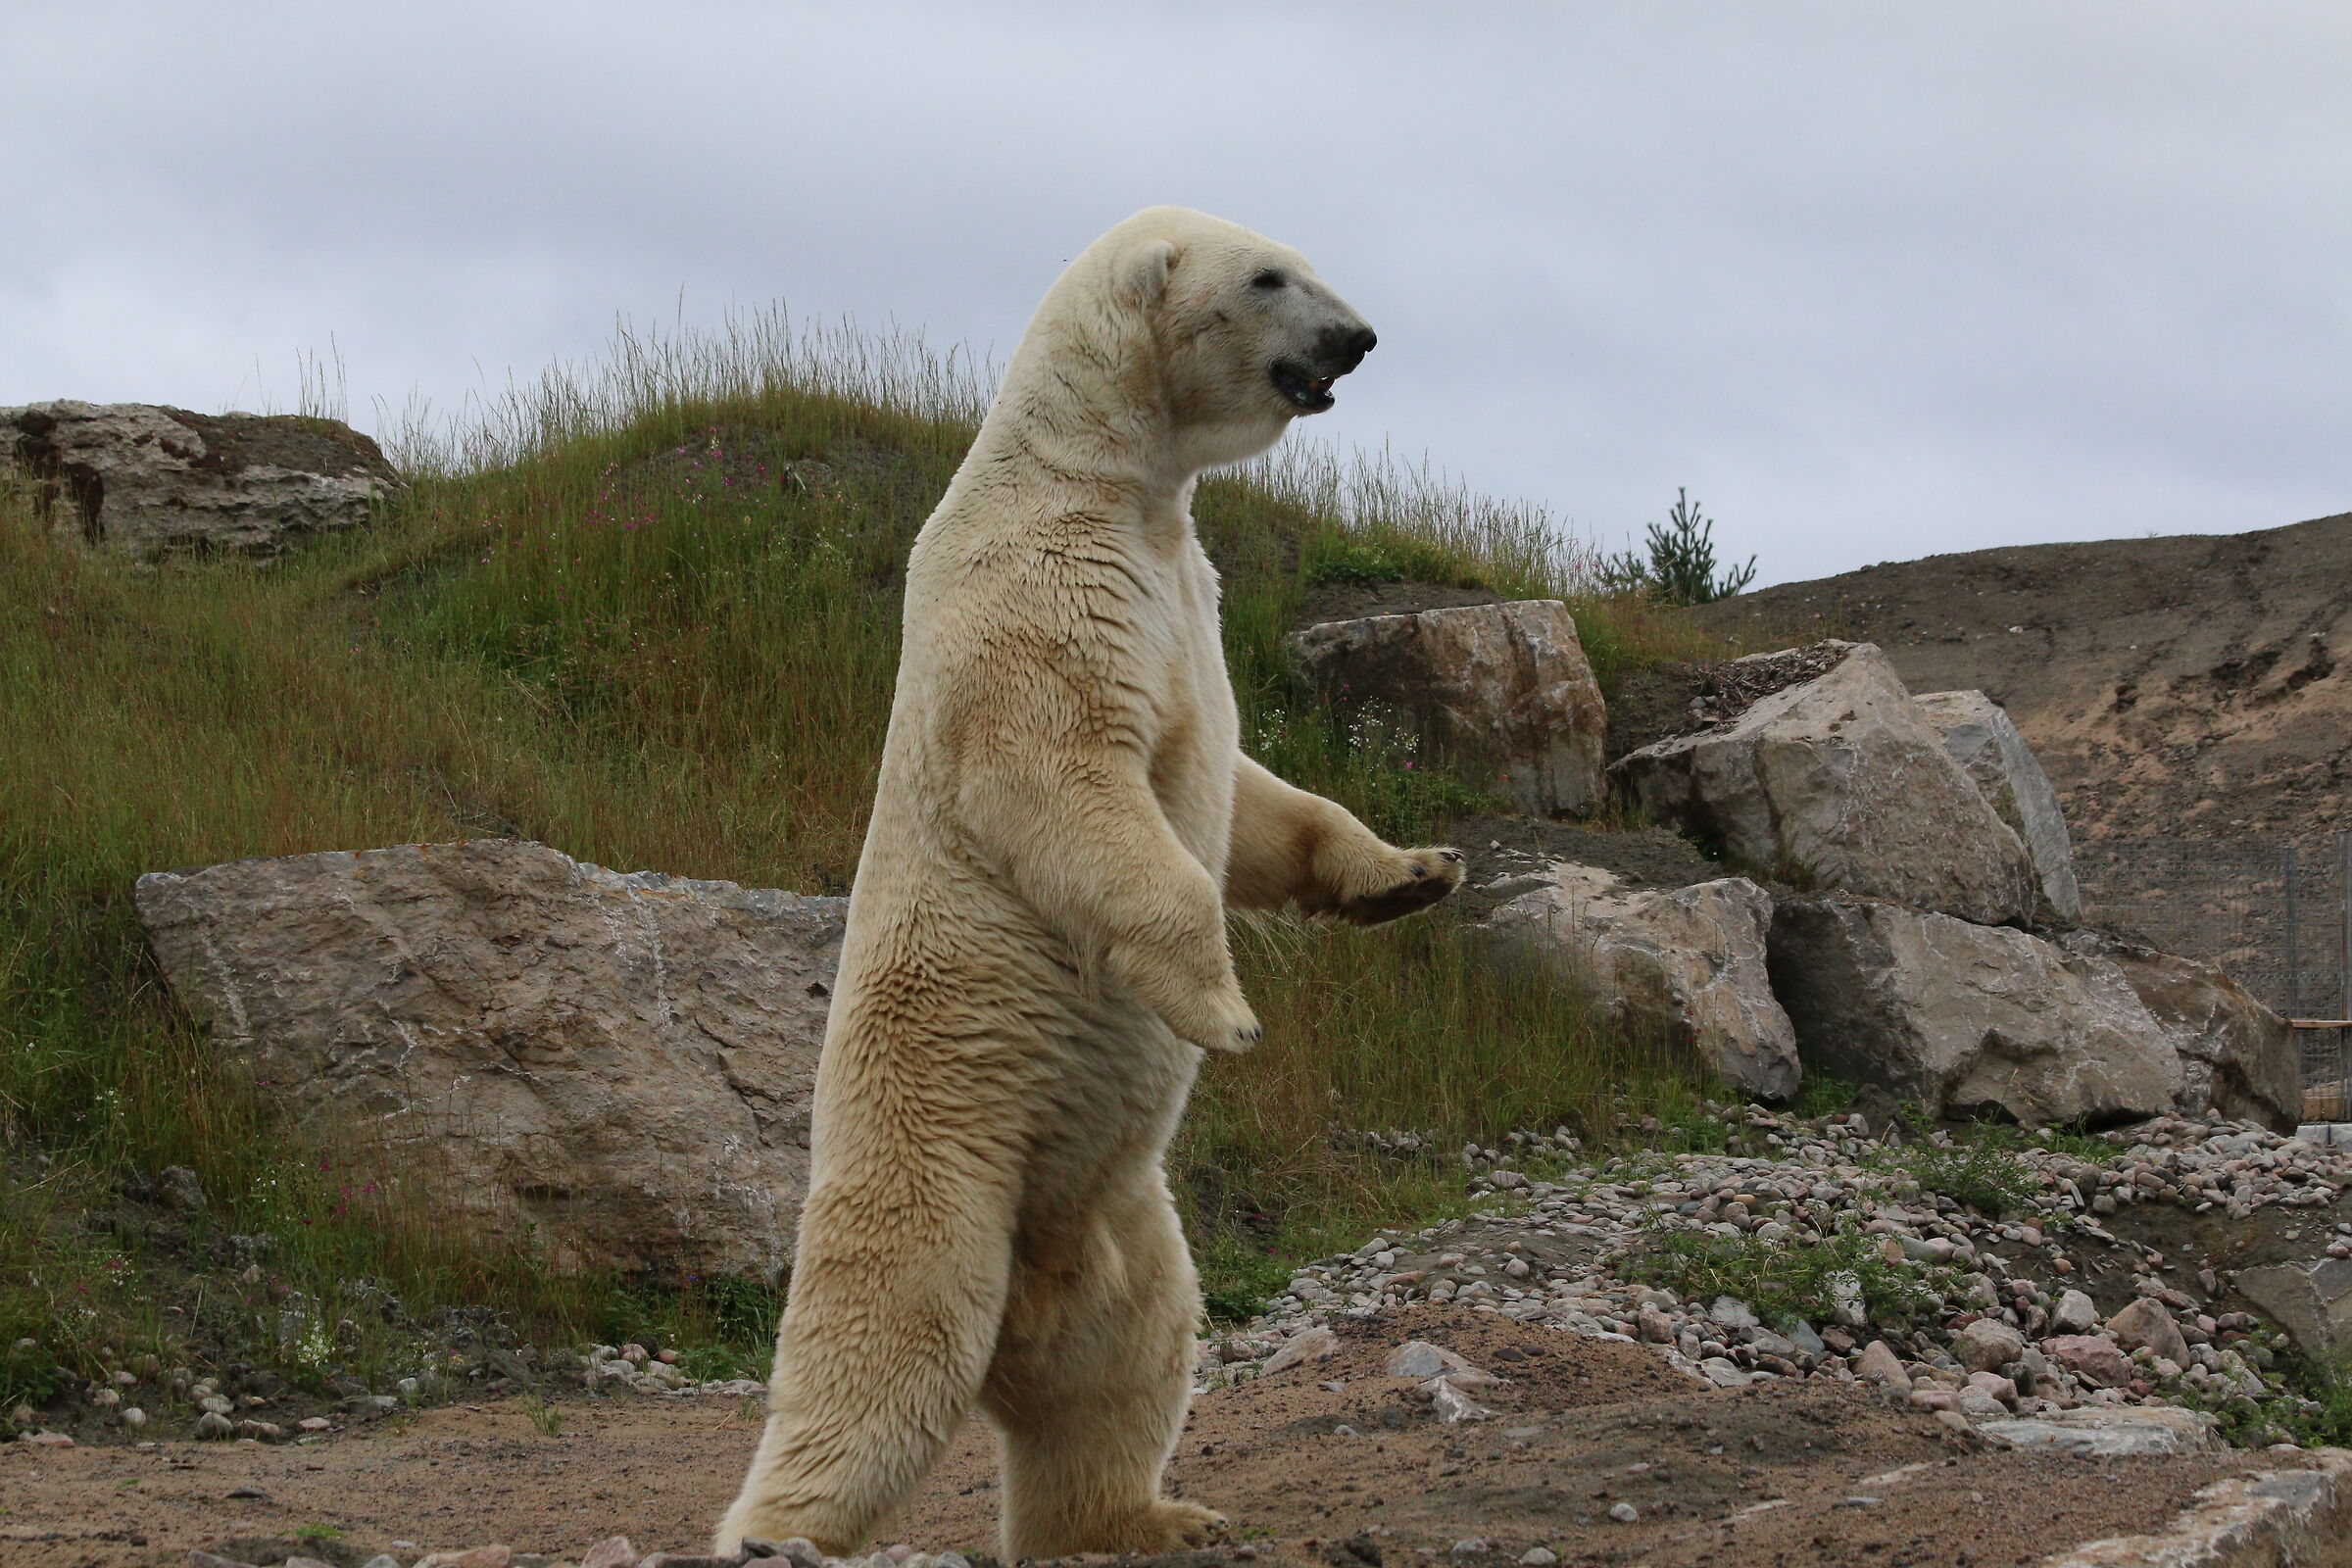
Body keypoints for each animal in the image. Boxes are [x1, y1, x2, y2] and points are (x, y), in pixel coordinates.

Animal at [714, 206, 1464, 1559]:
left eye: (1302, 259)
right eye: (1270, 276)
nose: (1361, 337)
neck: (1096, 475)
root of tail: (1024, 1298)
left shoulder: (1180, 584)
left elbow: (1251, 796)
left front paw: (1412, 872)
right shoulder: (1043, 591)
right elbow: (1071, 776)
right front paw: (1225, 1009)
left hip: (1122, 1223)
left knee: (1126, 1363)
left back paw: (1153, 1515)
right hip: (944, 1139)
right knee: (880, 1347)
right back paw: (778, 1530)